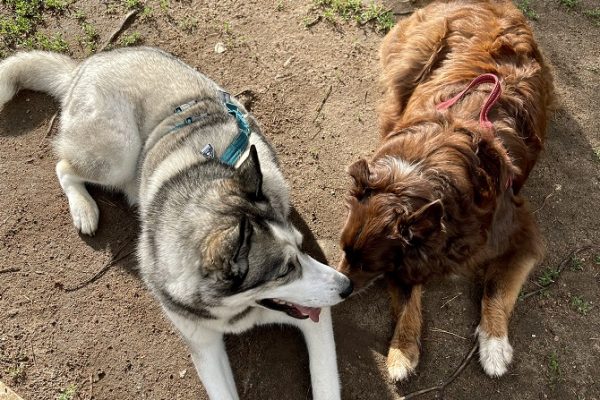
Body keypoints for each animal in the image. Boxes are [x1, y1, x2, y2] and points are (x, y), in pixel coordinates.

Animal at [338, 0, 552, 382]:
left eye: (366, 263)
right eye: (343, 250)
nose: (338, 288)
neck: (419, 177)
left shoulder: (520, 235)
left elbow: (494, 288)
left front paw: (494, 345)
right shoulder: (409, 257)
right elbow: (409, 299)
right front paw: (401, 351)